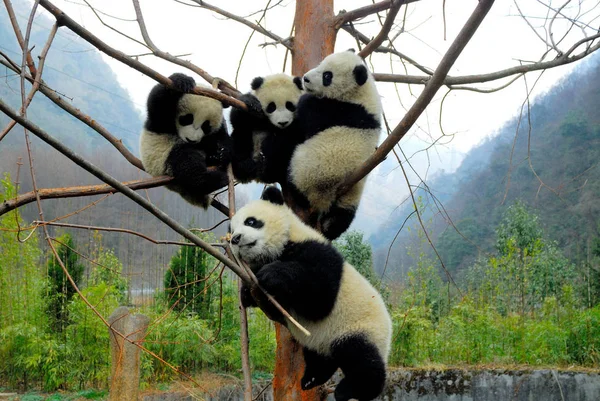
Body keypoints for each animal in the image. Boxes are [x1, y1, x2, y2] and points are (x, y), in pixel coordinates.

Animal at [141, 73, 232, 208]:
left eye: (206, 126)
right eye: (187, 119)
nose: (191, 140)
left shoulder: (216, 131)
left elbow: (222, 139)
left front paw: (221, 152)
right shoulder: (161, 122)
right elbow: (158, 101)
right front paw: (182, 81)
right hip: (163, 159)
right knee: (187, 164)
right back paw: (217, 179)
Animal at [227, 186, 392, 398]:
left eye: (251, 221)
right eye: (231, 231)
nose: (236, 239)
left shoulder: (318, 252)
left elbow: (320, 296)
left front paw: (272, 274)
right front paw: (247, 292)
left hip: (360, 326)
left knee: (361, 356)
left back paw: (353, 389)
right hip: (320, 340)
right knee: (320, 358)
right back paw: (312, 378)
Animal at [288, 48, 382, 239]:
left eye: (327, 76)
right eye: (321, 64)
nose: (305, 79)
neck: (359, 93)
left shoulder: (340, 111)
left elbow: (309, 115)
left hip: (311, 172)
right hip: (351, 196)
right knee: (341, 220)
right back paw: (330, 226)